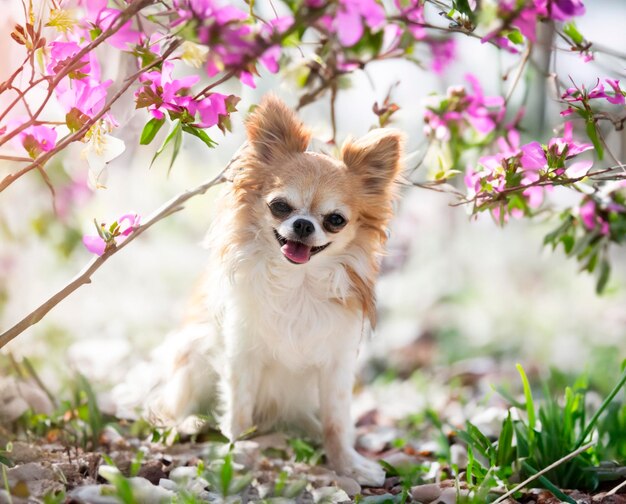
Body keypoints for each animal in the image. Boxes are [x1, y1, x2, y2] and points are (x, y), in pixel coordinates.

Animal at [148, 95, 402, 488]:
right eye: (280, 206)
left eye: (335, 220)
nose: (303, 224)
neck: (298, 283)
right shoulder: (241, 357)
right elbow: (238, 414)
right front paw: (236, 452)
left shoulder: (336, 365)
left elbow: (336, 421)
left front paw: (348, 464)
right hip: (192, 352)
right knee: (170, 408)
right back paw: (190, 422)